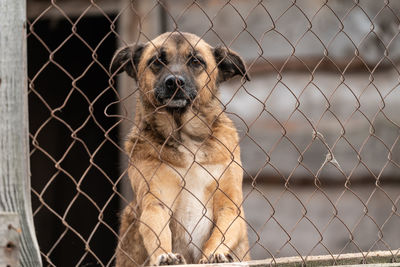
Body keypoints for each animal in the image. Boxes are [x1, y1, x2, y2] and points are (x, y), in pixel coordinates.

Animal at [110, 32, 250, 266]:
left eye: (196, 61)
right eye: (157, 61)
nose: (174, 81)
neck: (187, 139)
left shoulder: (230, 205)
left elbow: (220, 233)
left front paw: (215, 254)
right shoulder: (155, 203)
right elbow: (158, 233)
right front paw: (165, 256)